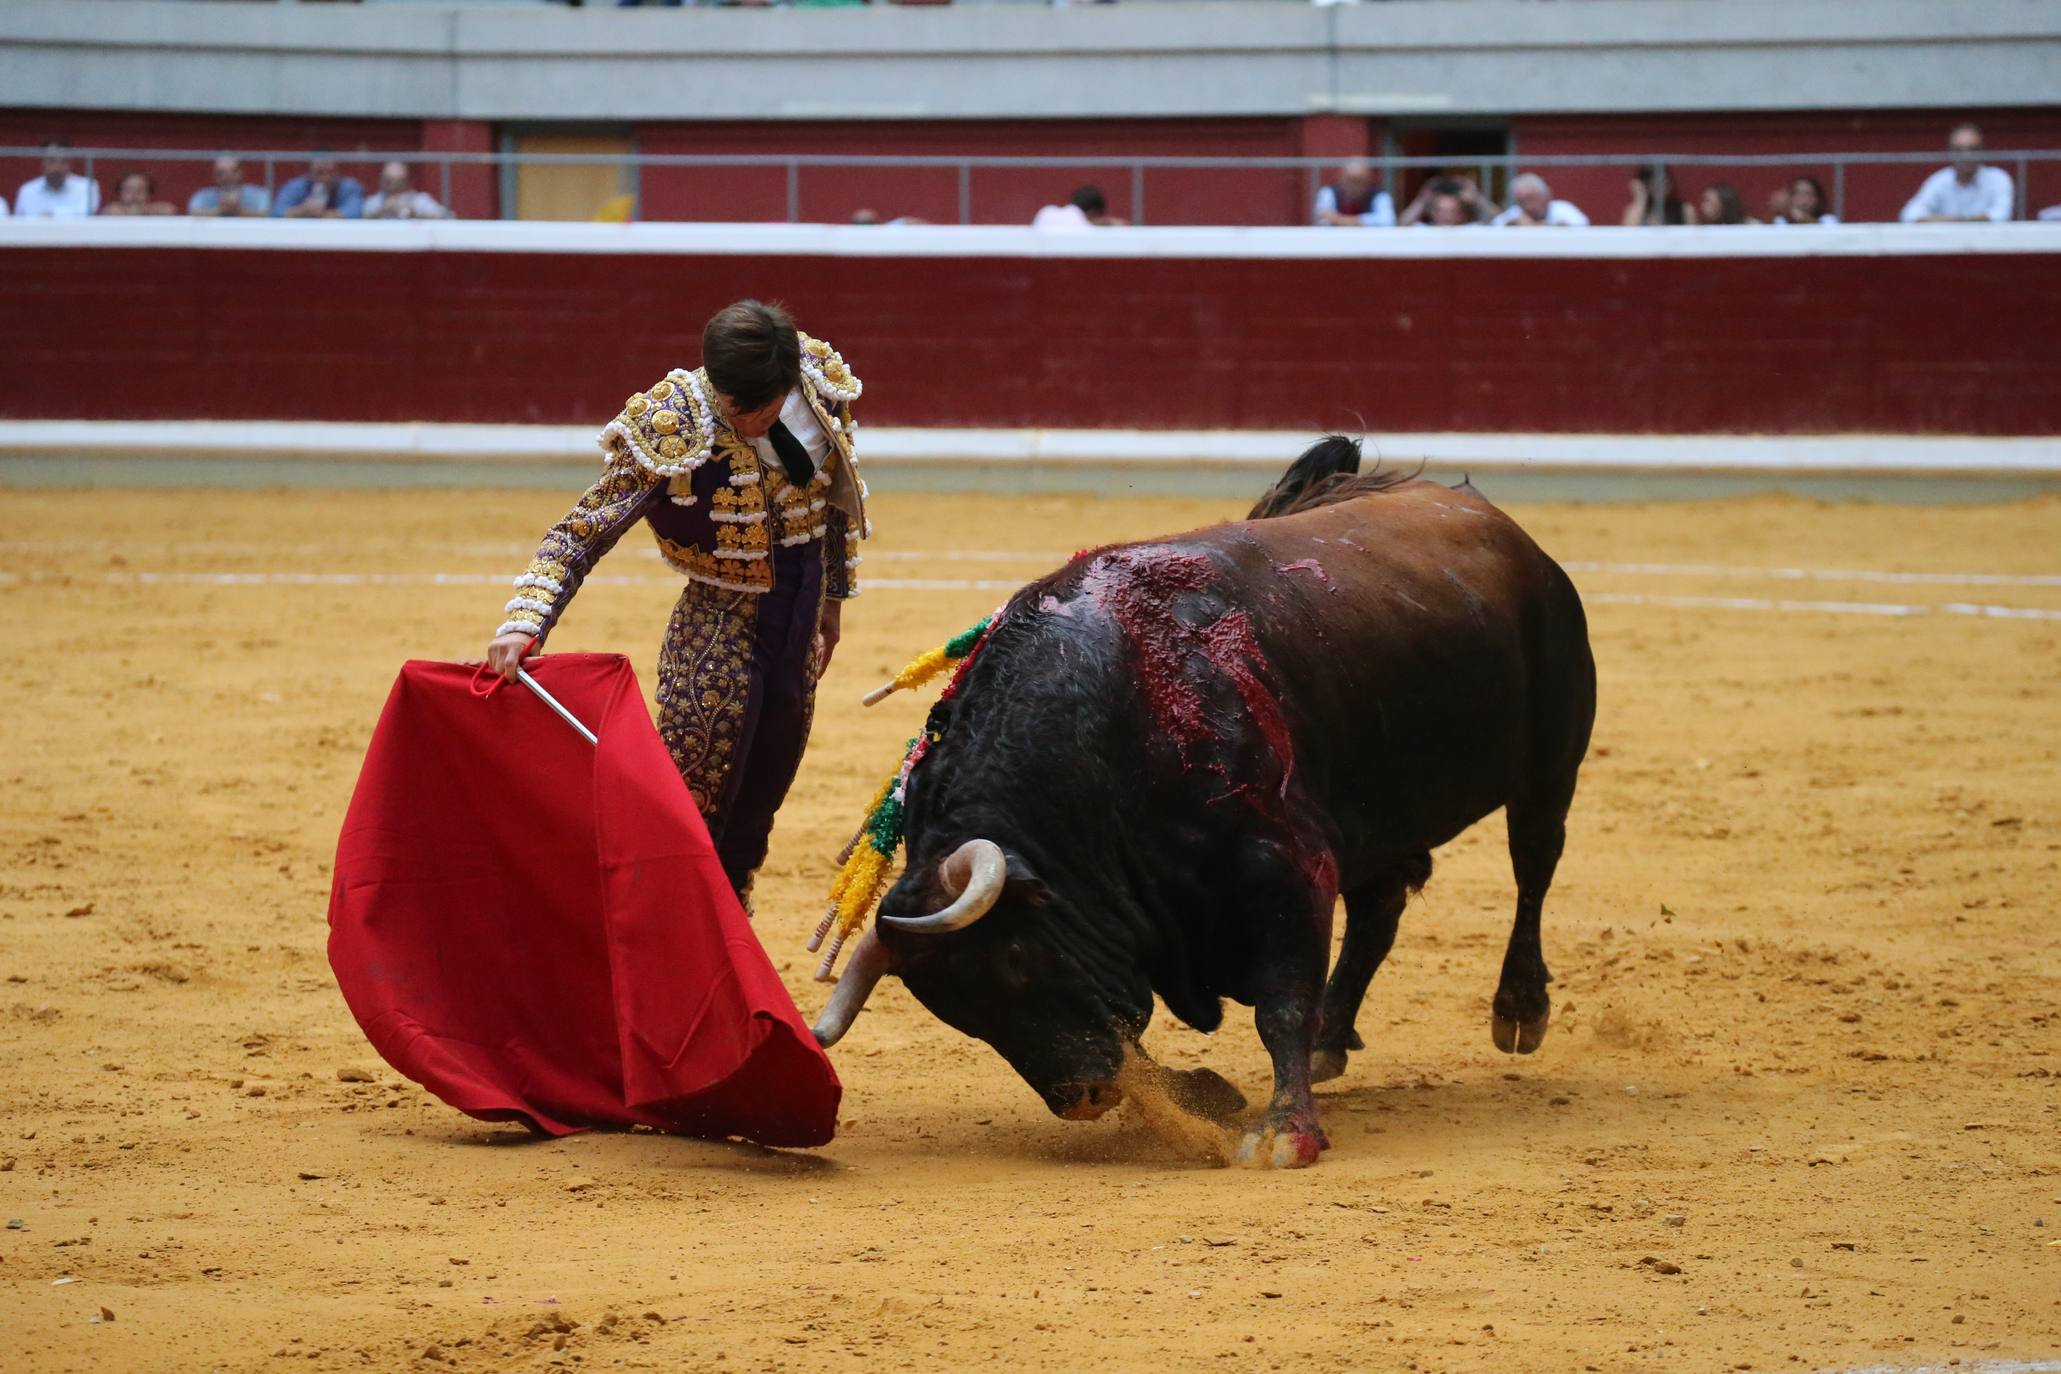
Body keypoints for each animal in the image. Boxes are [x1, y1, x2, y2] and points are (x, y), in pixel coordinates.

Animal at [803, 442, 1591, 1170]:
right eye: (956, 1011)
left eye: (1018, 958)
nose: (1082, 1096)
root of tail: (1493, 520)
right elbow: (1137, 1033)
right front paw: (1205, 1093)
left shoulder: (1288, 868)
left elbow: (1281, 1004)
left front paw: (1285, 1133)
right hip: (1379, 819)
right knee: (1379, 915)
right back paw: (1335, 1039)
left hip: (1551, 766)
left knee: (1534, 867)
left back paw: (1519, 1010)